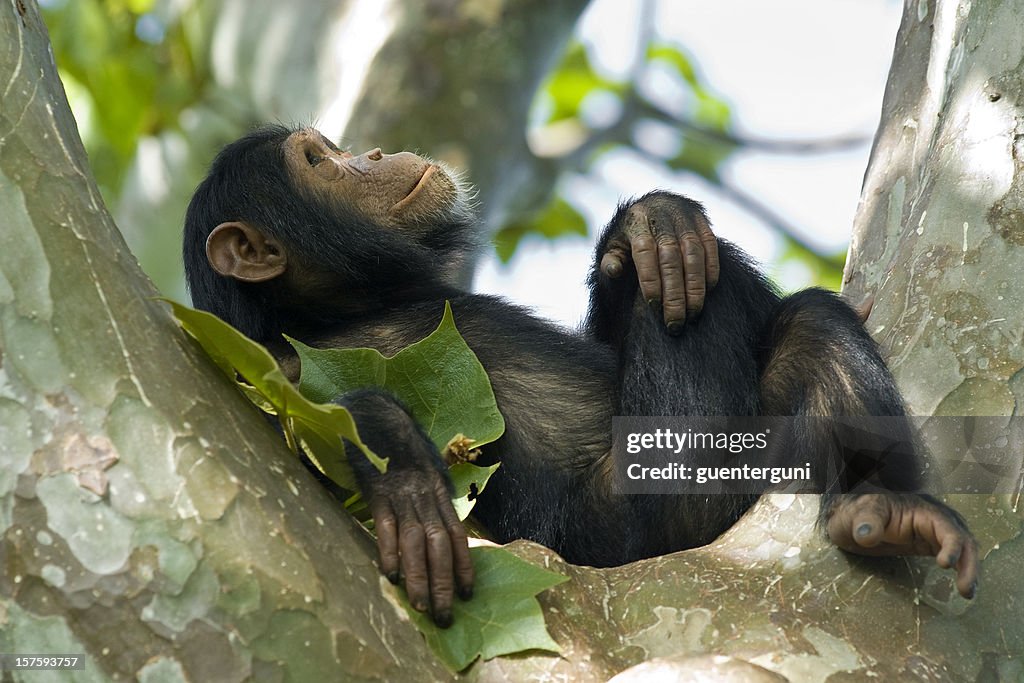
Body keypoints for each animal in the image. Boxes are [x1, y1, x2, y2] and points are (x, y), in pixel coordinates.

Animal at [182, 122, 974, 626]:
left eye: (335, 149)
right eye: (318, 161)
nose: (368, 152)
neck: (347, 306)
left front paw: (653, 224)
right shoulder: (269, 364)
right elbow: (302, 424)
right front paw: (405, 478)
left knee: (802, 325)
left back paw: (882, 507)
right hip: (653, 512)